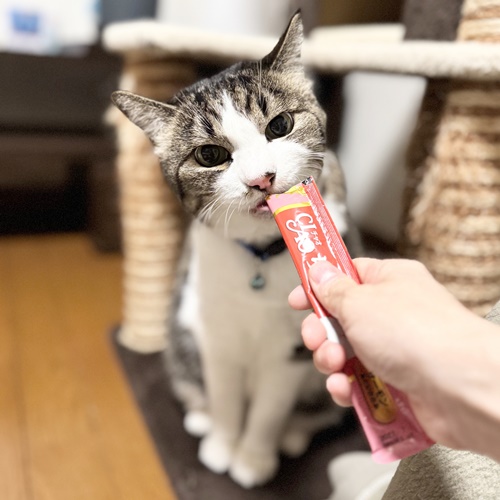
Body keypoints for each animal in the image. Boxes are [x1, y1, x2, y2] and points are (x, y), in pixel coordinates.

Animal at [112, 11, 360, 489]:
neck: (260, 259)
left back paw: (293, 435)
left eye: (280, 126)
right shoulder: (214, 330)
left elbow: (269, 409)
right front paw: (223, 446)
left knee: (314, 411)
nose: (261, 178)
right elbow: (226, 397)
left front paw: (252, 459)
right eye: (209, 155)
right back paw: (202, 418)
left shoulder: (292, 347)